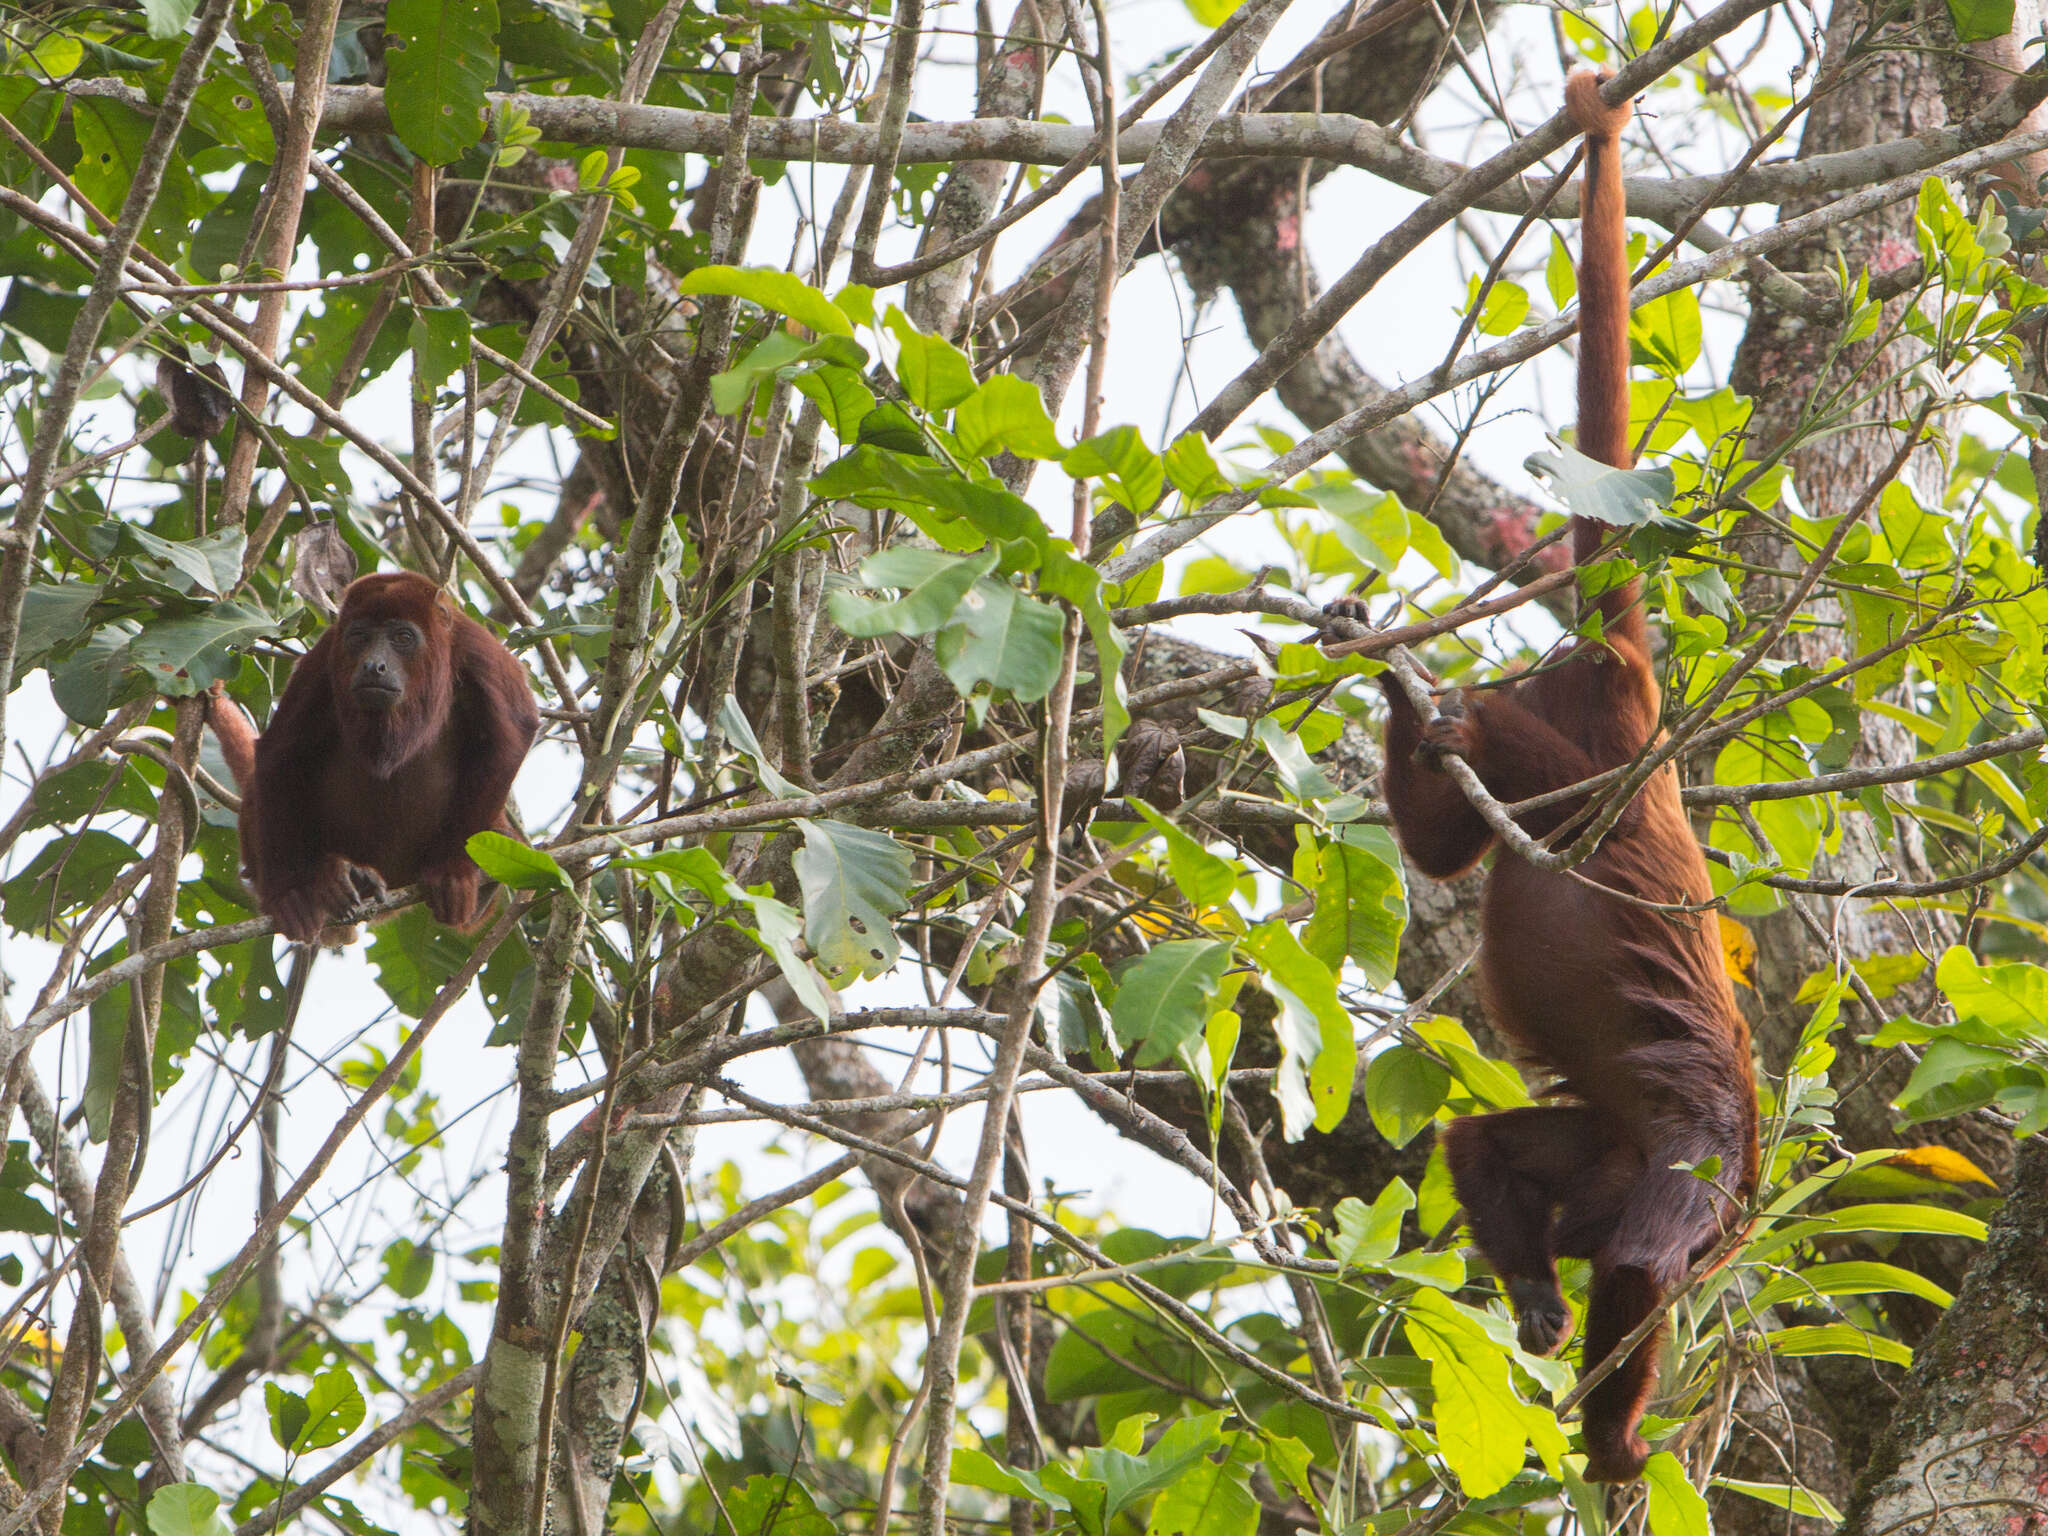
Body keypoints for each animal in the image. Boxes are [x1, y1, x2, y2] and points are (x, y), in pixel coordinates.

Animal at [207, 573, 536, 946]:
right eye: (360, 637)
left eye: (403, 637)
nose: (373, 665)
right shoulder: (326, 654)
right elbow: (280, 752)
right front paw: (287, 893)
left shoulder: (476, 647)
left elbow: (514, 732)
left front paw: (453, 869)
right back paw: (334, 876)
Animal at [1327, 69, 1761, 1482]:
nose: (1553, 1247)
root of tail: (1634, 691)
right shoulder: (1690, 1163)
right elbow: (1638, 1264)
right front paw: (1619, 1438)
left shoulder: (1610, 1148)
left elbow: (1480, 1146)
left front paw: (1527, 1288)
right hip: (1586, 754)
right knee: (1546, 795)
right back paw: (1449, 720)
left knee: (1448, 850)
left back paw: (1407, 715)